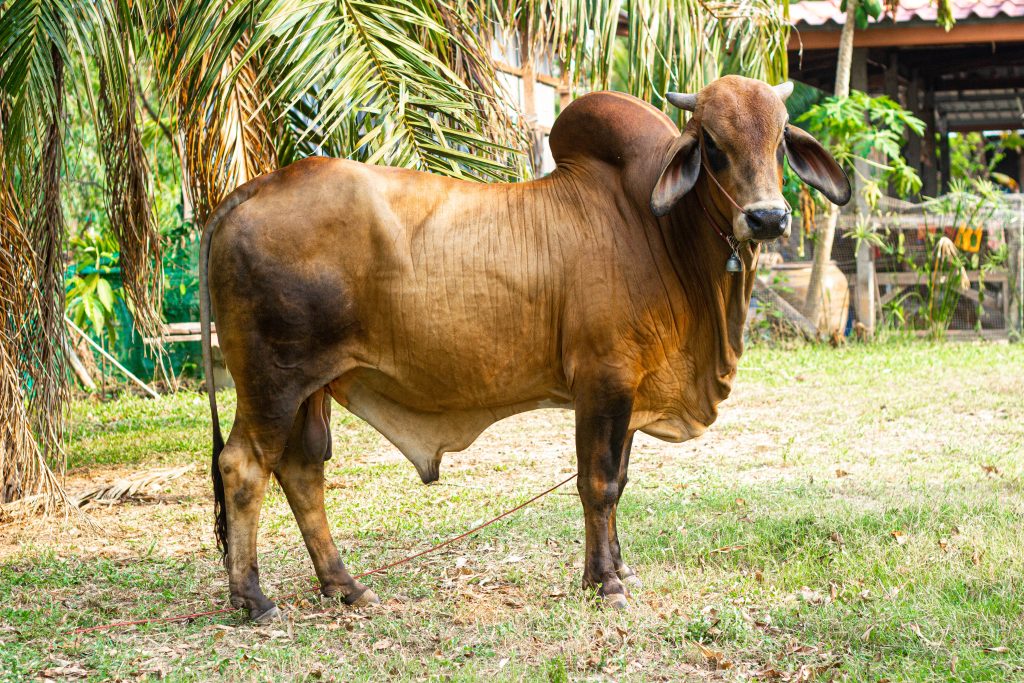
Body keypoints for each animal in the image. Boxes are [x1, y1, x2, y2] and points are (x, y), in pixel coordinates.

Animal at [197, 76, 847, 626]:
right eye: (712, 144)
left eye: (781, 140)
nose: (767, 218)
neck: (658, 230)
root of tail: (248, 191)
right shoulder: (603, 380)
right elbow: (598, 482)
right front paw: (605, 582)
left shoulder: (631, 389)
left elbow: (619, 480)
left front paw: (618, 568)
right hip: (273, 380)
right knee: (244, 467)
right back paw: (253, 599)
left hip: (310, 388)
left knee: (302, 472)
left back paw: (345, 586)